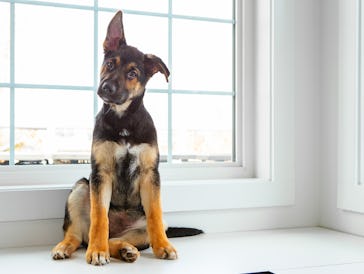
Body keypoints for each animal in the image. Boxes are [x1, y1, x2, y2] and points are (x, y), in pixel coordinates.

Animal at [51, 10, 200, 266]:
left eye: (133, 73)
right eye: (110, 64)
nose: (106, 88)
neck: (124, 121)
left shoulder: (150, 174)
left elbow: (155, 215)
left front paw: (163, 246)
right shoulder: (100, 174)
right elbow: (100, 218)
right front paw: (97, 251)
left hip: (141, 227)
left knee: (122, 236)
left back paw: (126, 249)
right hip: (81, 187)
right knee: (78, 235)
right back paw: (70, 246)